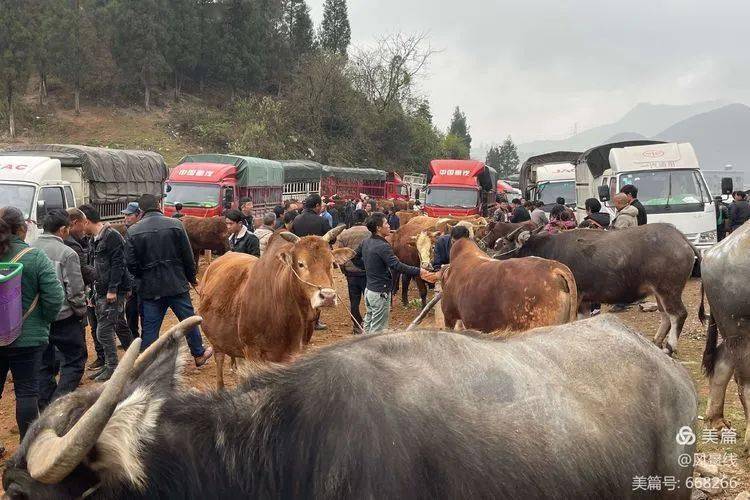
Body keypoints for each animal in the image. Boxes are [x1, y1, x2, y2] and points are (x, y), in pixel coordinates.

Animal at [198, 226, 354, 386]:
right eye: (300, 264)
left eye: (332, 263)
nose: (328, 296)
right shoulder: (252, 352)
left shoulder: (296, 352)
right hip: (216, 341)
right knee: (219, 361)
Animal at [496, 223, 704, 356]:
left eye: (504, 243)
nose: (493, 258)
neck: (547, 250)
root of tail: (681, 239)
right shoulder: (586, 300)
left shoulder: (577, 296)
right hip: (659, 292)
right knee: (665, 315)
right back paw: (656, 342)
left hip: (668, 289)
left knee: (678, 314)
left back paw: (669, 347)